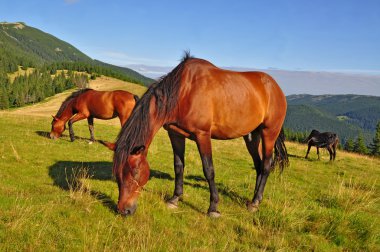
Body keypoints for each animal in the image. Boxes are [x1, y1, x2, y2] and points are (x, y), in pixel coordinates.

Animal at [111, 53, 290, 219]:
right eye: (117, 172)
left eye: (134, 172)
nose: (123, 210)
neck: (184, 91)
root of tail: (276, 88)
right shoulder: (175, 134)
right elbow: (178, 166)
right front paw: (175, 199)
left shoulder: (202, 135)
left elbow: (208, 170)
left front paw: (213, 208)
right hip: (251, 136)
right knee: (259, 164)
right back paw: (253, 199)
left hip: (269, 133)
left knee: (266, 165)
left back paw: (255, 202)